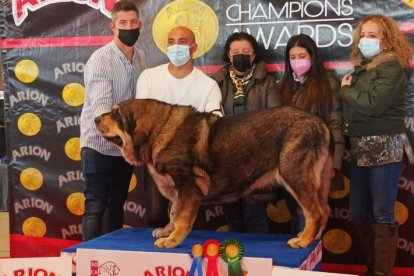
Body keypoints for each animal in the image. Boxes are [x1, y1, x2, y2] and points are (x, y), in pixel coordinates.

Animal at [94, 99, 334, 250]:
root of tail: (320, 123)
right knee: (325, 209)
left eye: (116, 113)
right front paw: (167, 231)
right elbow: (174, 212)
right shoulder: (179, 191)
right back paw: (312, 238)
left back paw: (303, 240)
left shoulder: (188, 186)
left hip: (294, 175)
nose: (96, 119)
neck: (159, 130)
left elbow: (182, 217)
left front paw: (173, 239)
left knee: (315, 212)